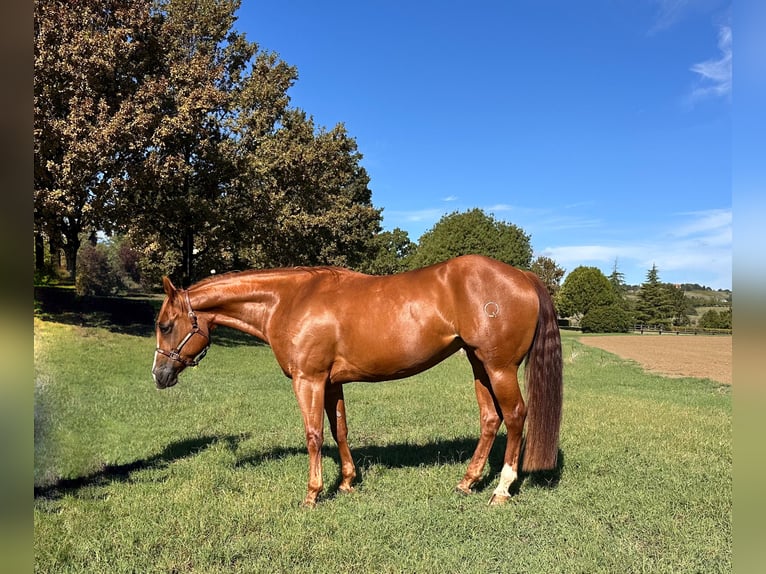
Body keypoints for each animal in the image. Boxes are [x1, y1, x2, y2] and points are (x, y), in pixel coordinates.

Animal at [152, 254, 563, 507]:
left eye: (165, 325)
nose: (159, 375)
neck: (290, 300)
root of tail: (523, 276)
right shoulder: (332, 383)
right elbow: (340, 430)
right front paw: (347, 482)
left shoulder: (309, 380)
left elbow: (314, 434)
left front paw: (313, 494)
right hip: (479, 365)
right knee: (490, 419)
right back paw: (468, 481)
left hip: (499, 367)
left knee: (515, 416)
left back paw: (502, 490)